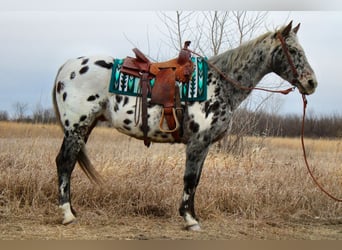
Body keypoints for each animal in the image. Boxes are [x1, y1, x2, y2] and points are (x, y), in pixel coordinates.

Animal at [52, 21, 316, 230]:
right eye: (293, 50)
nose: (311, 83)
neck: (218, 84)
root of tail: (67, 66)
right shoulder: (197, 143)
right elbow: (189, 178)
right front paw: (190, 219)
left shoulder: (204, 145)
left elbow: (196, 180)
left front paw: (191, 215)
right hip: (76, 128)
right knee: (65, 162)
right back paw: (67, 214)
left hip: (84, 129)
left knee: (69, 163)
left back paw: (72, 210)